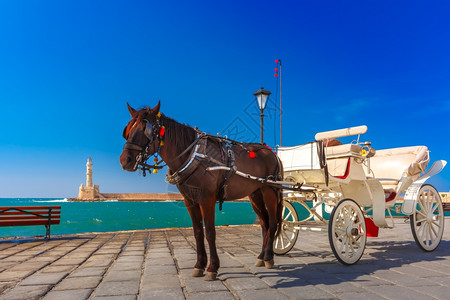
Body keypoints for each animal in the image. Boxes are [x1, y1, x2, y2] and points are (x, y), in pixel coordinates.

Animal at [119, 101, 282, 282]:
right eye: (127, 130)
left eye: (144, 129)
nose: (124, 160)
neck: (193, 154)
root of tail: (271, 152)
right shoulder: (189, 200)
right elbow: (197, 232)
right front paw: (199, 265)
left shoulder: (207, 198)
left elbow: (210, 232)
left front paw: (212, 268)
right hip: (255, 194)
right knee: (264, 223)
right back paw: (261, 257)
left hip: (269, 190)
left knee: (273, 222)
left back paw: (269, 258)